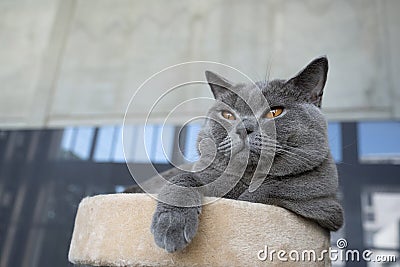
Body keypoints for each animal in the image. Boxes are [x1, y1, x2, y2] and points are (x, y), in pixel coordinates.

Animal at [148, 56, 342, 253]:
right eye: (228, 115)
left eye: (274, 112)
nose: (243, 128)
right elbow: (184, 178)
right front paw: (171, 225)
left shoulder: (329, 206)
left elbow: (275, 190)